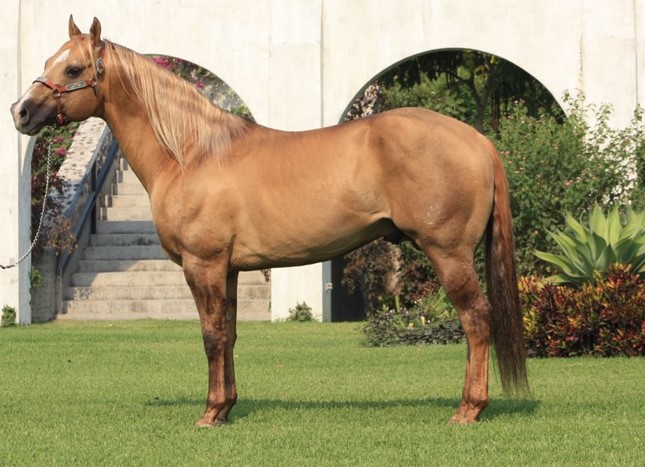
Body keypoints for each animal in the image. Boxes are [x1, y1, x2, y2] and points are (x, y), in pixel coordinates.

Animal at [10, 16, 528, 426]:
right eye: (50, 59)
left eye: (72, 69)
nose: (21, 112)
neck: (192, 154)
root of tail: (478, 140)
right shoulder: (228, 270)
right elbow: (230, 333)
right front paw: (226, 407)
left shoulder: (203, 265)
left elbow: (211, 335)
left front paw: (209, 414)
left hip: (448, 254)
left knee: (476, 319)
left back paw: (468, 410)